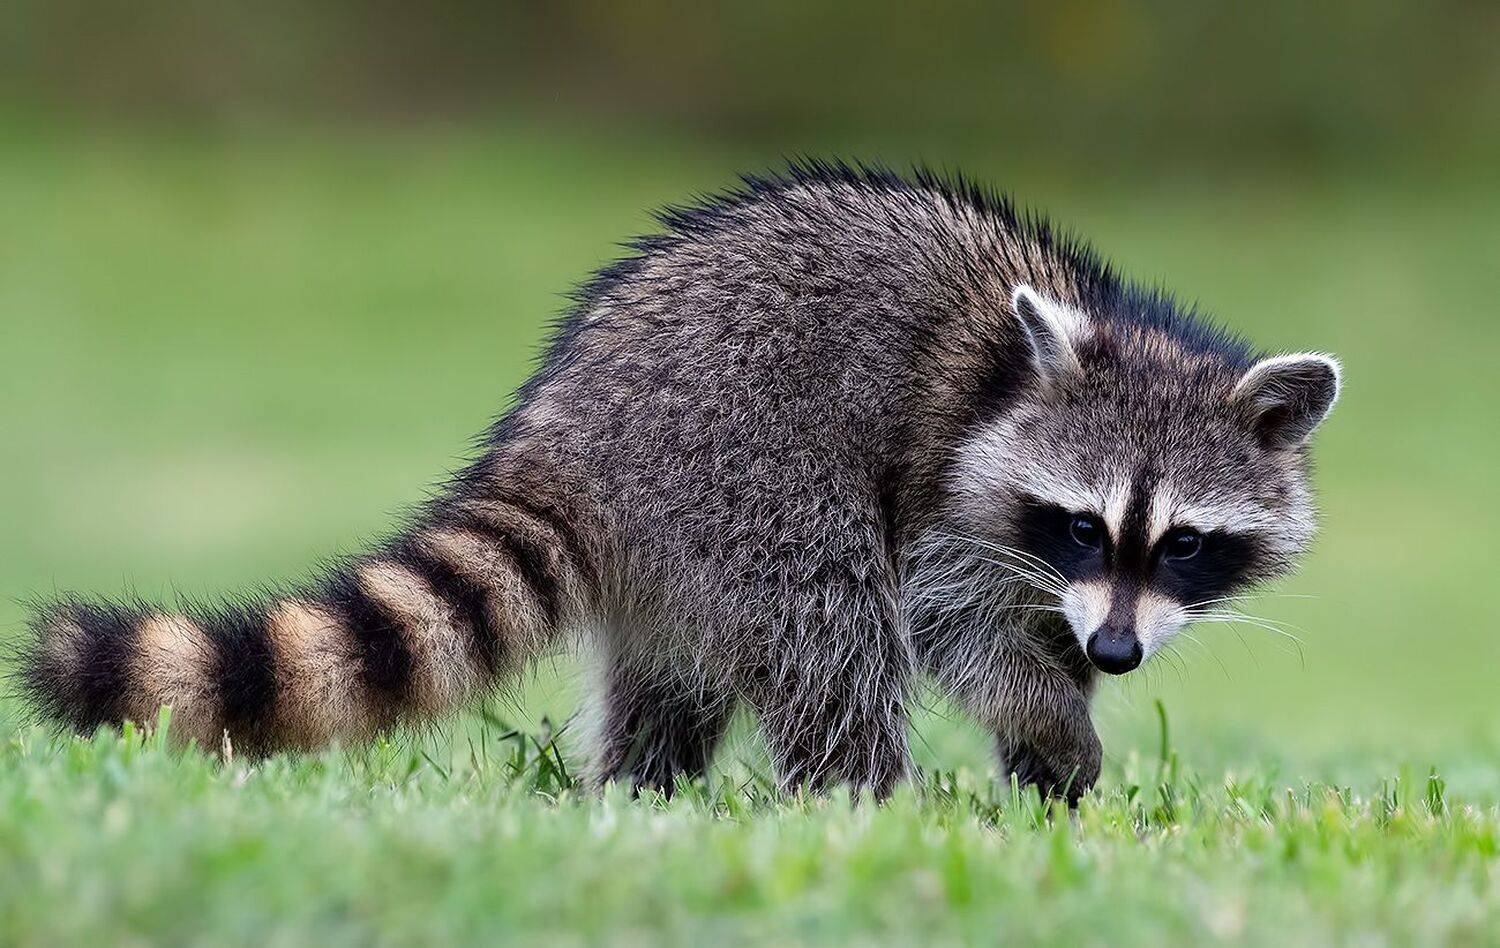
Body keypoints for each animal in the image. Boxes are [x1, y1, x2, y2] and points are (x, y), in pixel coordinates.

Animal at [18, 162, 1340, 801]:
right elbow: (945, 622)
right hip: (751, 473)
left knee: (673, 683)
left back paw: (641, 792)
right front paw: (1046, 719)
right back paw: (867, 800)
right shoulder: (945, 493)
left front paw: (1054, 722)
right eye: (1082, 526)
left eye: (1184, 545)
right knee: (835, 637)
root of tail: (565, 431)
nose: (1115, 654)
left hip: (683, 551)